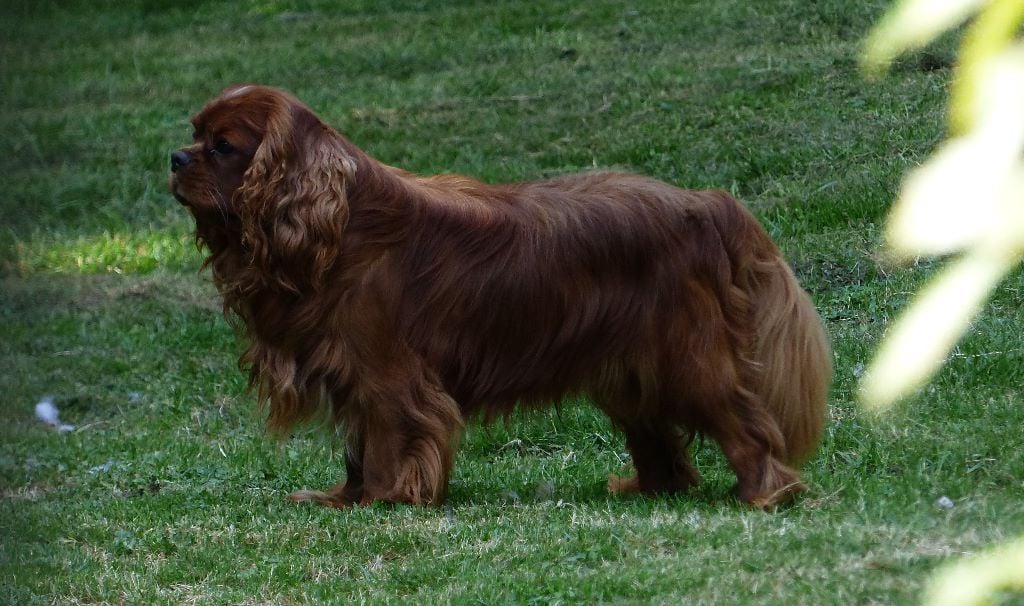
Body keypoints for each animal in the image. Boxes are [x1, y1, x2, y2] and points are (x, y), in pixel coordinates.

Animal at [165, 84, 823, 509]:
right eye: (192, 134)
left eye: (222, 146)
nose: (173, 157)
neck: (341, 225)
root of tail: (705, 203)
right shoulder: (352, 373)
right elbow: (358, 446)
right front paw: (342, 498)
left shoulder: (387, 375)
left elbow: (386, 441)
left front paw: (380, 501)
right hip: (631, 371)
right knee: (659, 439)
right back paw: (649, 489)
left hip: (688, 360)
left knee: (746, 424)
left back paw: (767, 494)